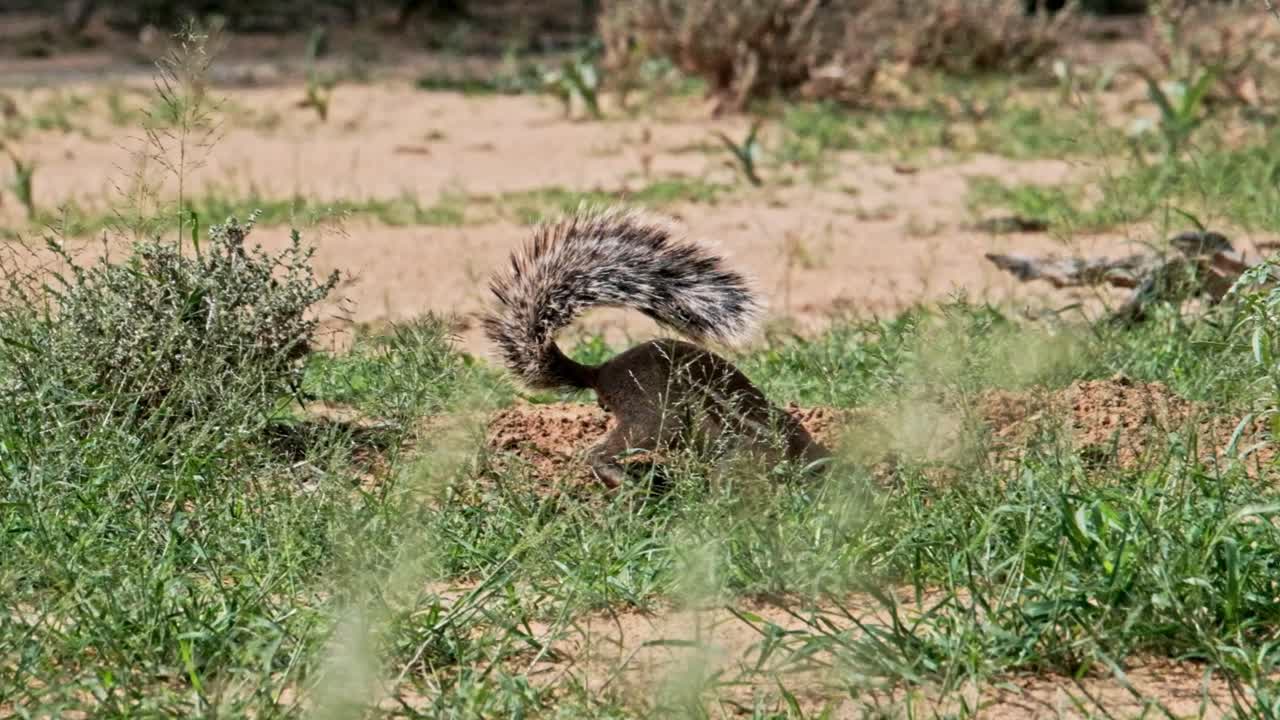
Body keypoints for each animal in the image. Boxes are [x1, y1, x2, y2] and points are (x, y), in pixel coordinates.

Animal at [482, 206, 832, 489]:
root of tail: (602, 370)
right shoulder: (745, 452)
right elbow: (728, 474)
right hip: (654, 412)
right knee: (612, 445)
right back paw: (622, 479)